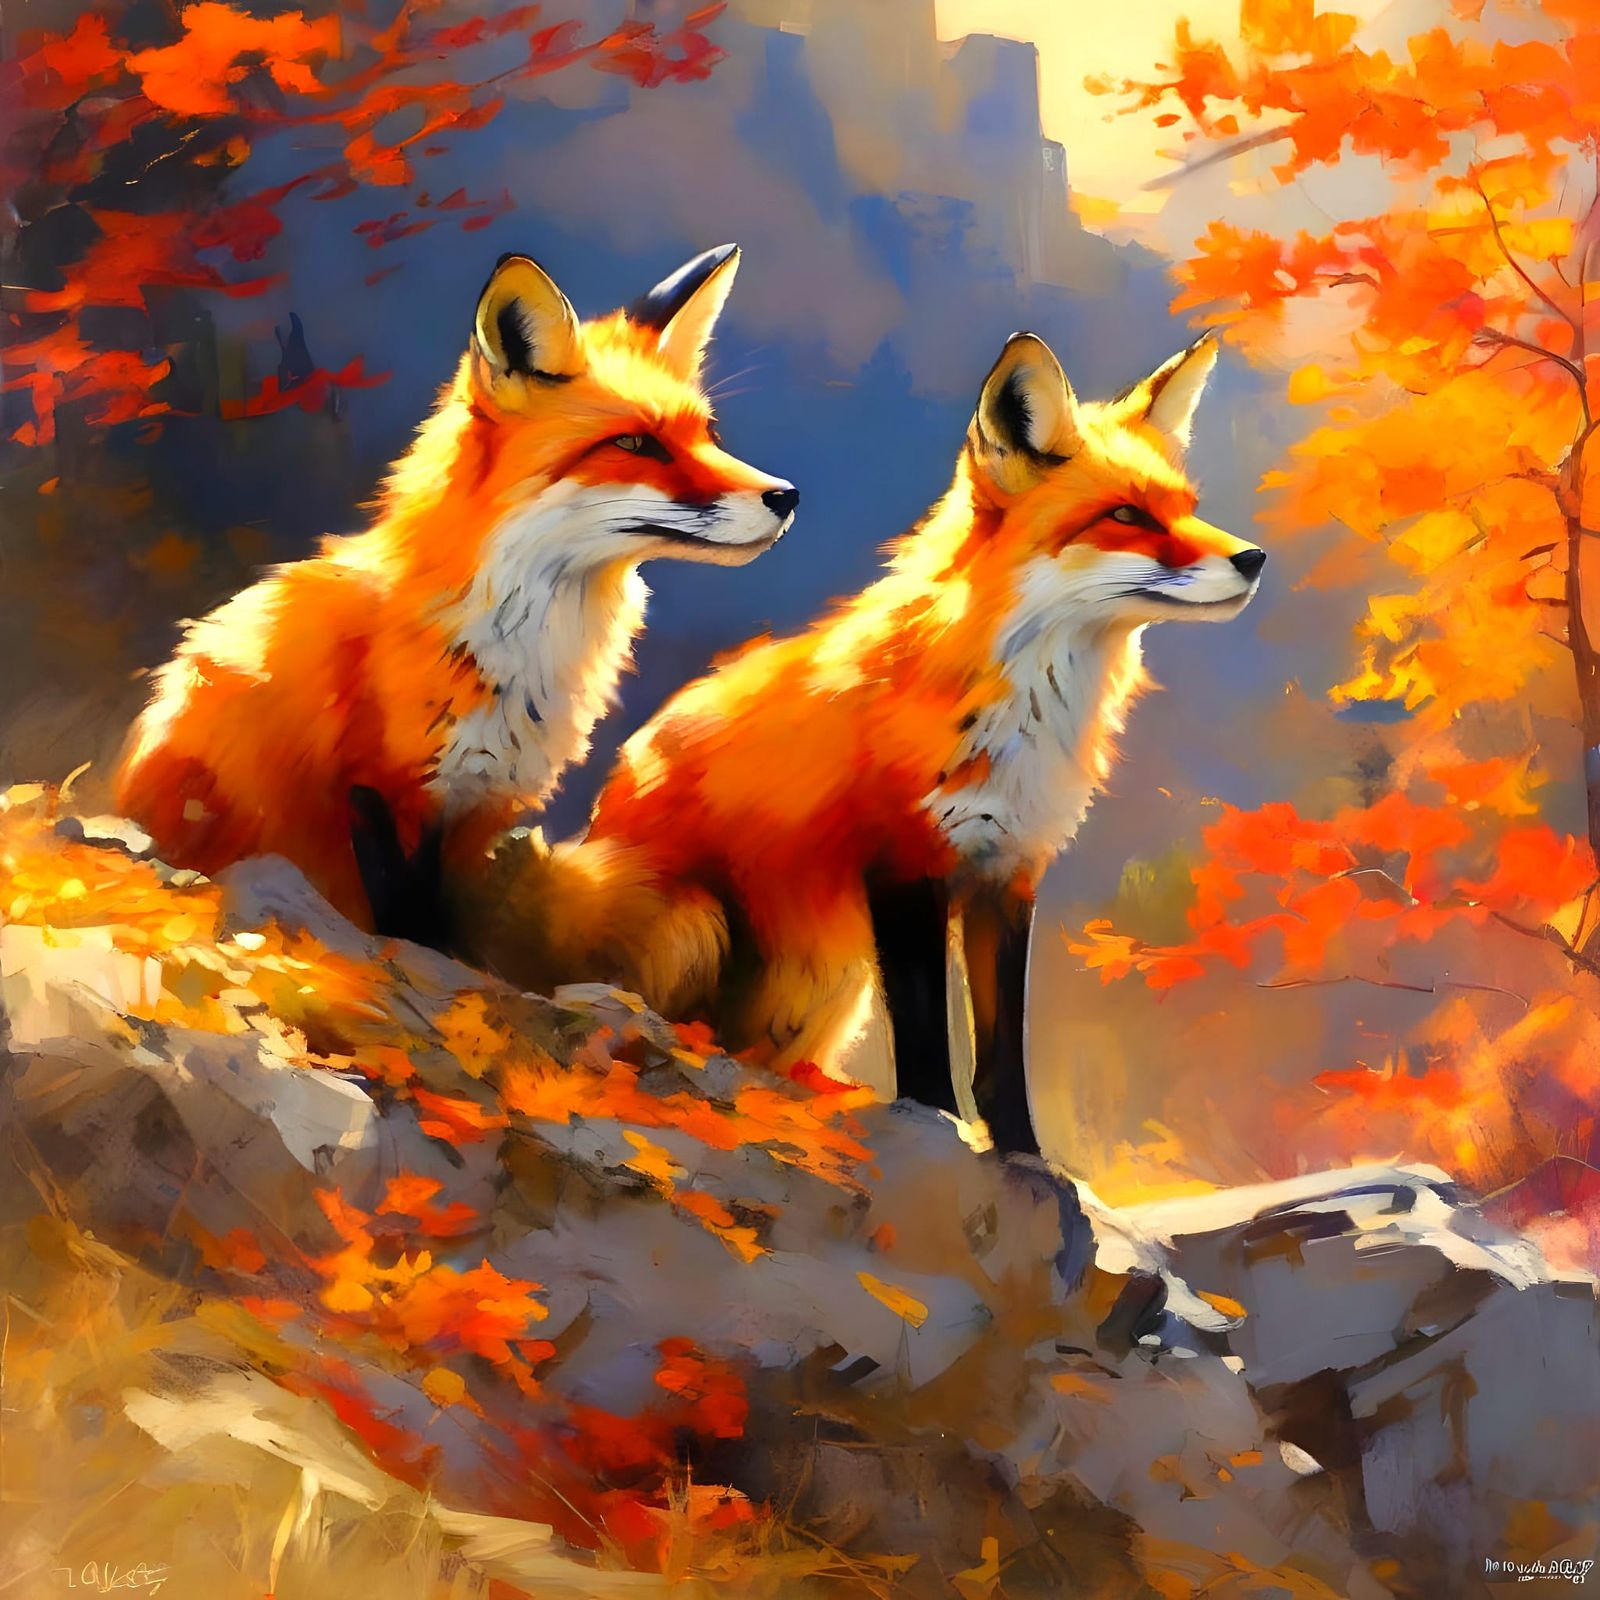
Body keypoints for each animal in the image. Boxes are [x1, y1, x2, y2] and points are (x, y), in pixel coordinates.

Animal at [115, 244, 798, 934]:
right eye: (634, 443)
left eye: (707, 436)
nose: (786, 496)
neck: (519, 649)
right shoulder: (381, 789)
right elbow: (403, 917)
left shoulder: (487, 807)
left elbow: (452, 921)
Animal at [456, 327, 1264, 1154]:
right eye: (1127, 516)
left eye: (1189, 509)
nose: (1253, 558)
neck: (1023, 717)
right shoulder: (903, 864)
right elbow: (925, 1028)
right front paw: (937, 1119)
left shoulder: (1008, 873)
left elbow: (1002, 1052)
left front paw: (1024, 1154)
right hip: (702, 920)